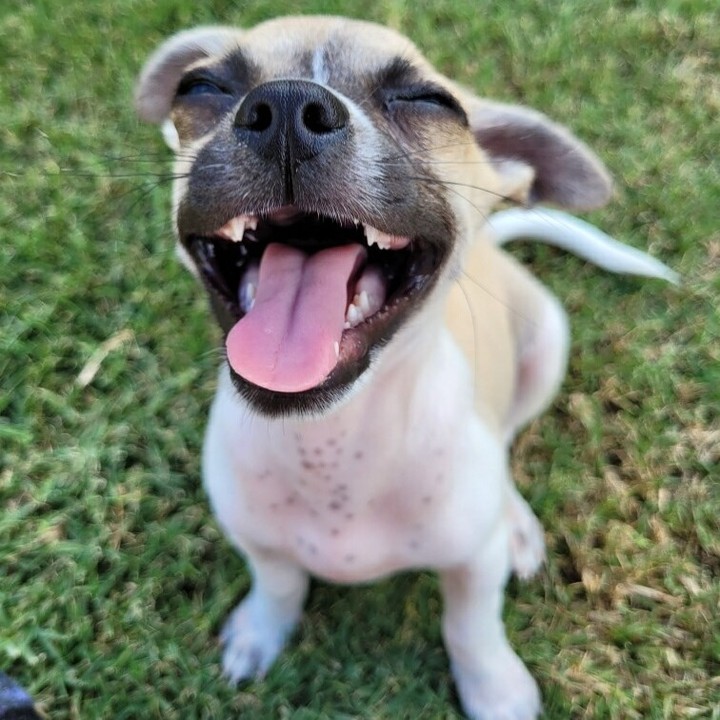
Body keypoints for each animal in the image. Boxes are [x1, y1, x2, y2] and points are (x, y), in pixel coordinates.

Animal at [134, 16, 676, 720]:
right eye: (201, 87)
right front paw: (260, 632)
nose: (286, 109)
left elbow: (471, 626)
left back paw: (517, 523)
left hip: (547, 345)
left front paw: (495, 689)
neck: (332, 443)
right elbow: (278, 584)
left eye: (429, 101)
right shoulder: (258, 540)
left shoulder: (473, 565)